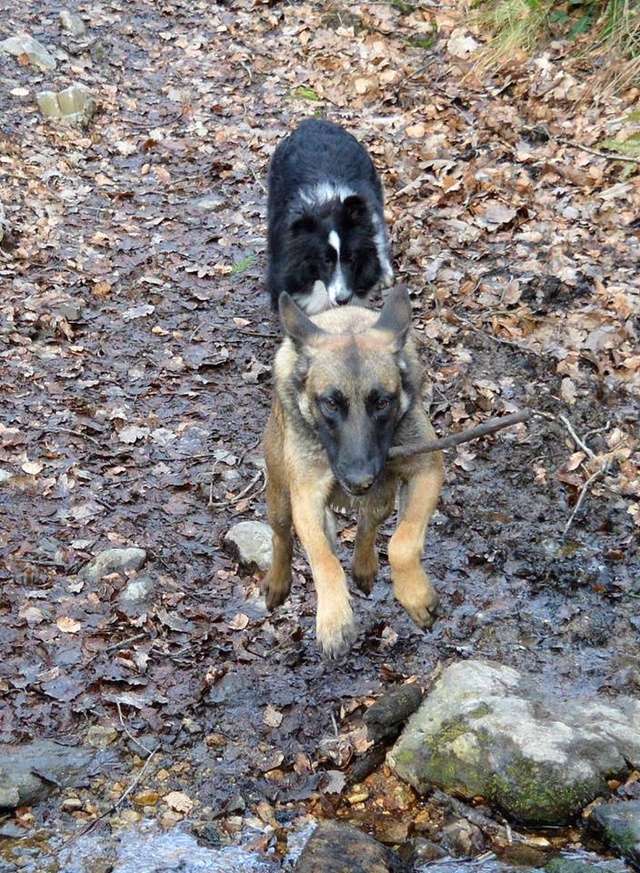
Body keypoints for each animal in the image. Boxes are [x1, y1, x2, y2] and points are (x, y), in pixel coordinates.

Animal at [262, 288, 442, 660]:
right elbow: (324, 558)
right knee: (282, 536)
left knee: (368, 526)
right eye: (331, 403)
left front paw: (415, 594)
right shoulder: (307, 496)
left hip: (384, 496)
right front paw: (334, 619)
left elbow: (402, 543)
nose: (359, 479)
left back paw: (364, 567)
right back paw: (278, 582)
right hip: (281, 499)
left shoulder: (427, 470)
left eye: (382, 402)